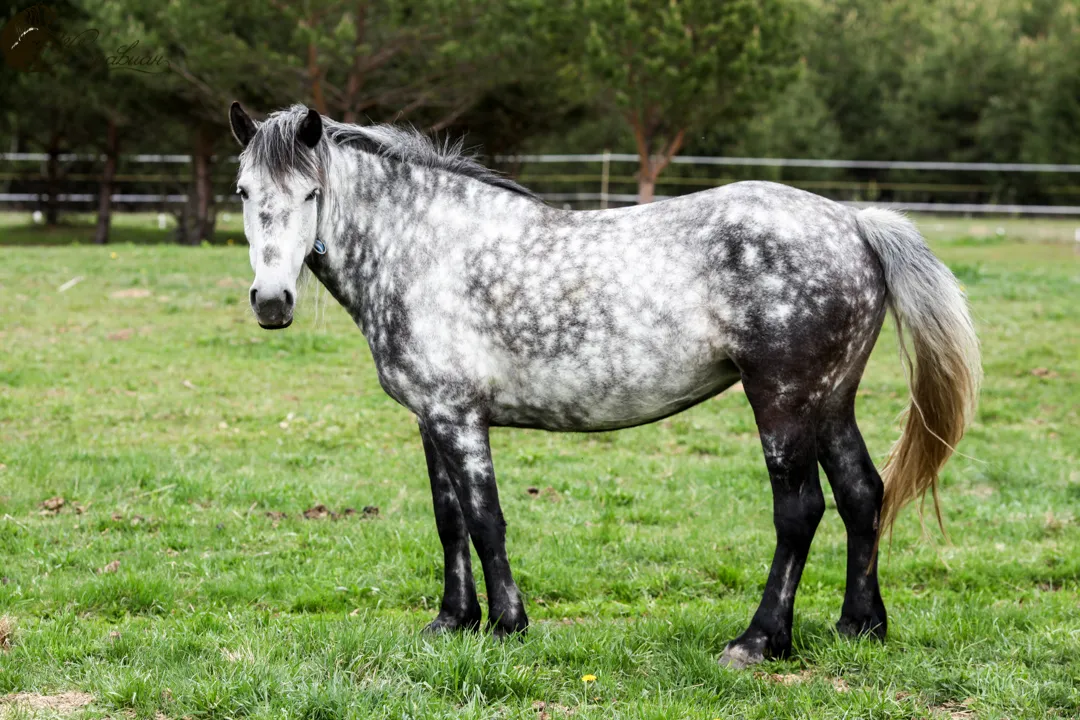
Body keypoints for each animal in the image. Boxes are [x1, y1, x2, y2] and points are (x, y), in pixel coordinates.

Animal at [227, 102, 980, 668]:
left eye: (312, 193)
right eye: (244, 193)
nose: (272, 302)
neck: (425, 247)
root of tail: (854, 222)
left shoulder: (457, 416)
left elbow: (486, 519)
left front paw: (507, 625)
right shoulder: (430, 417)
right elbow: (449, 521)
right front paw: (451, 621)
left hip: (785, 402)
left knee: (800, 512)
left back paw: (758, 641)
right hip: (830, 401)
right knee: (862, 496)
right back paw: (860, 626)